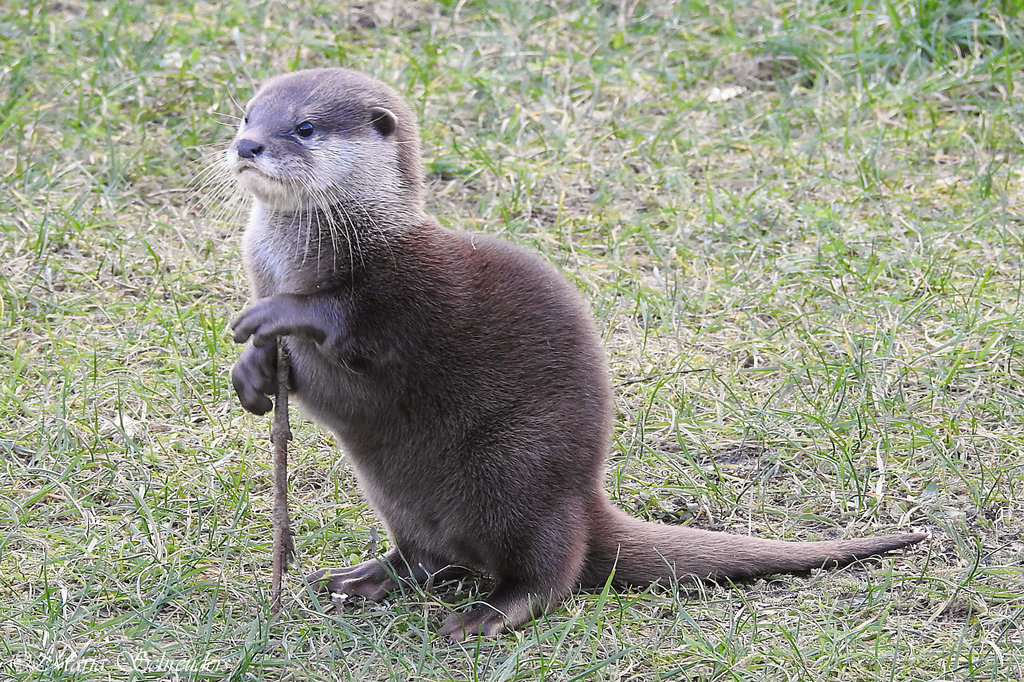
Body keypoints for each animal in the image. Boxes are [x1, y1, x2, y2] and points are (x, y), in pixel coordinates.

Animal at [226, 67, 929, 638]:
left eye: (304, 126)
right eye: (248, 114)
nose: (246, 145)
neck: (305, 254)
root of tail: (586, 504)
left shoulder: (407, 290)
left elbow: (349, 321)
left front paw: (277, 315)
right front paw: (252, 373)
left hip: (520, 471)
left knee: (549, 573)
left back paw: (488, 614)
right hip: (403, 497)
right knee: (427, 557)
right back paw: (360, 578)